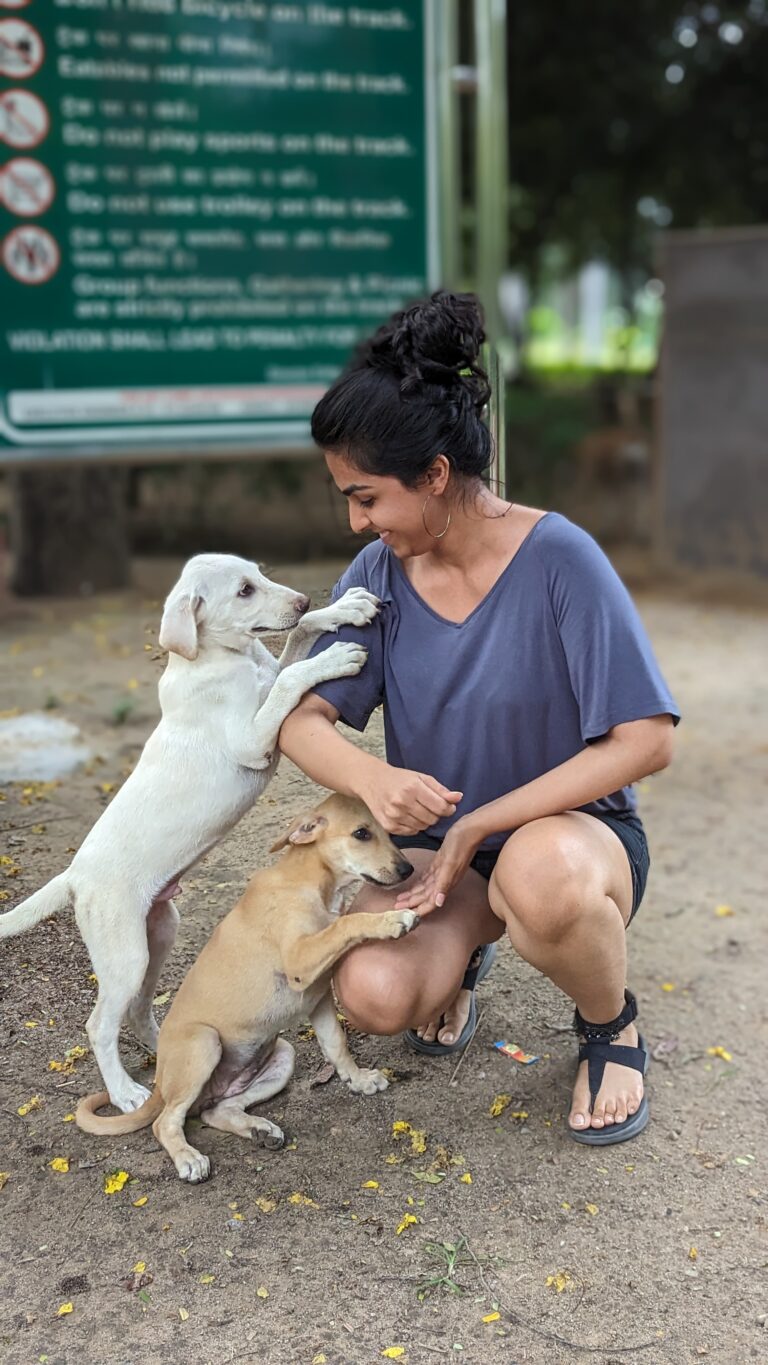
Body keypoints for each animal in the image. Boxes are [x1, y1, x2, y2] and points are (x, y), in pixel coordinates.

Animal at [0, 551, 379, 1108]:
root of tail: (74, 876)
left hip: (161, 931)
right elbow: (290, 681)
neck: (217, 657)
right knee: (99, 1024)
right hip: (126, 955)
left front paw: (341, 610)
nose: (303, 597)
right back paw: (127, 1093)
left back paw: (166, 1056)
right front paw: (333, 658)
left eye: (260, 574)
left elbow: (293, 647)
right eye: (244, 590)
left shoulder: (270, 675)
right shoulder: (253, 741)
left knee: (140, 1010)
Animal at [75, 797, 417, 1179]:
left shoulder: (318, 998)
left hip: (282, 1055)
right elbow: (346, 923)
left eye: (388, 830)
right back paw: (188, 1158)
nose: (407, 870)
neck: (310, 881)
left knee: (215, 1111)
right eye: (361, 833)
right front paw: (391, 920)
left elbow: (336, 1044)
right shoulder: (300, 961)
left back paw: (259, 1130)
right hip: (204, 1042)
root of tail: (162, 1083)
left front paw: (358, 1080)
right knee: (165, 1122)